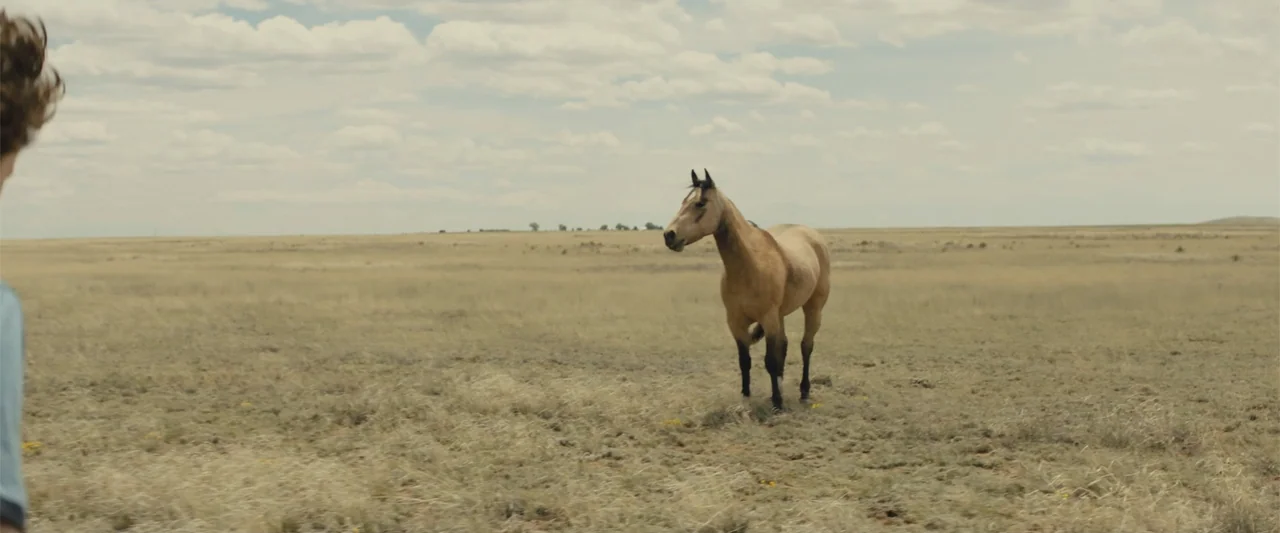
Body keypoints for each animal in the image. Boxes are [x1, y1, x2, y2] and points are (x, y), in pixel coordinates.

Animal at [662, 169, 832, 411]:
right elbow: (746, 361)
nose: (669, 235)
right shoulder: (736, 322)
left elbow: (771, 360)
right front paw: (746, 398)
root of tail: (813, 236)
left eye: (700, 203)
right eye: (683, 202)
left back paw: (804, 391)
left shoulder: (768, 318)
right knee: (785, 346)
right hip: (780, 315)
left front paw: (777, 403)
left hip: (813, 308)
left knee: (806, 346)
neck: (749, 266)